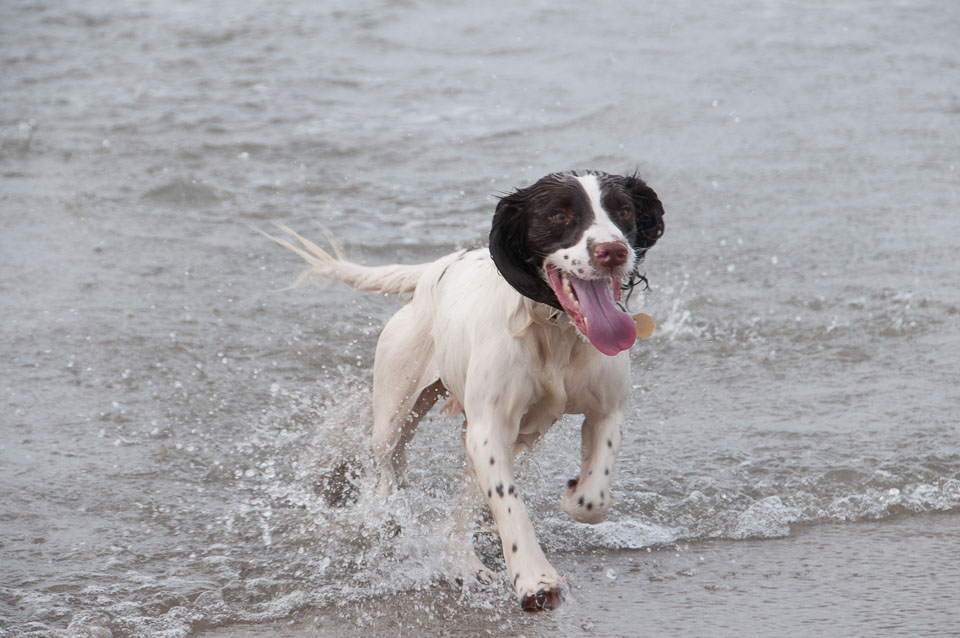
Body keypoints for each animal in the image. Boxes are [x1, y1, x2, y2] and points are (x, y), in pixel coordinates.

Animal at [266, 171, 664, 616]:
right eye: (559, 215)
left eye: (623, 210)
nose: (613, 251)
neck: (555, 331)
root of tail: (432, 271)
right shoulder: (489, 428)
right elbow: (509, 503)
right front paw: (536, 579)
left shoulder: (606, 411)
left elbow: (593, 497)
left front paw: (573, 494)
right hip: (395, 409)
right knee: (390, 465)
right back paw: (394, 521)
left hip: (508, 435)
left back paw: (463, 562)